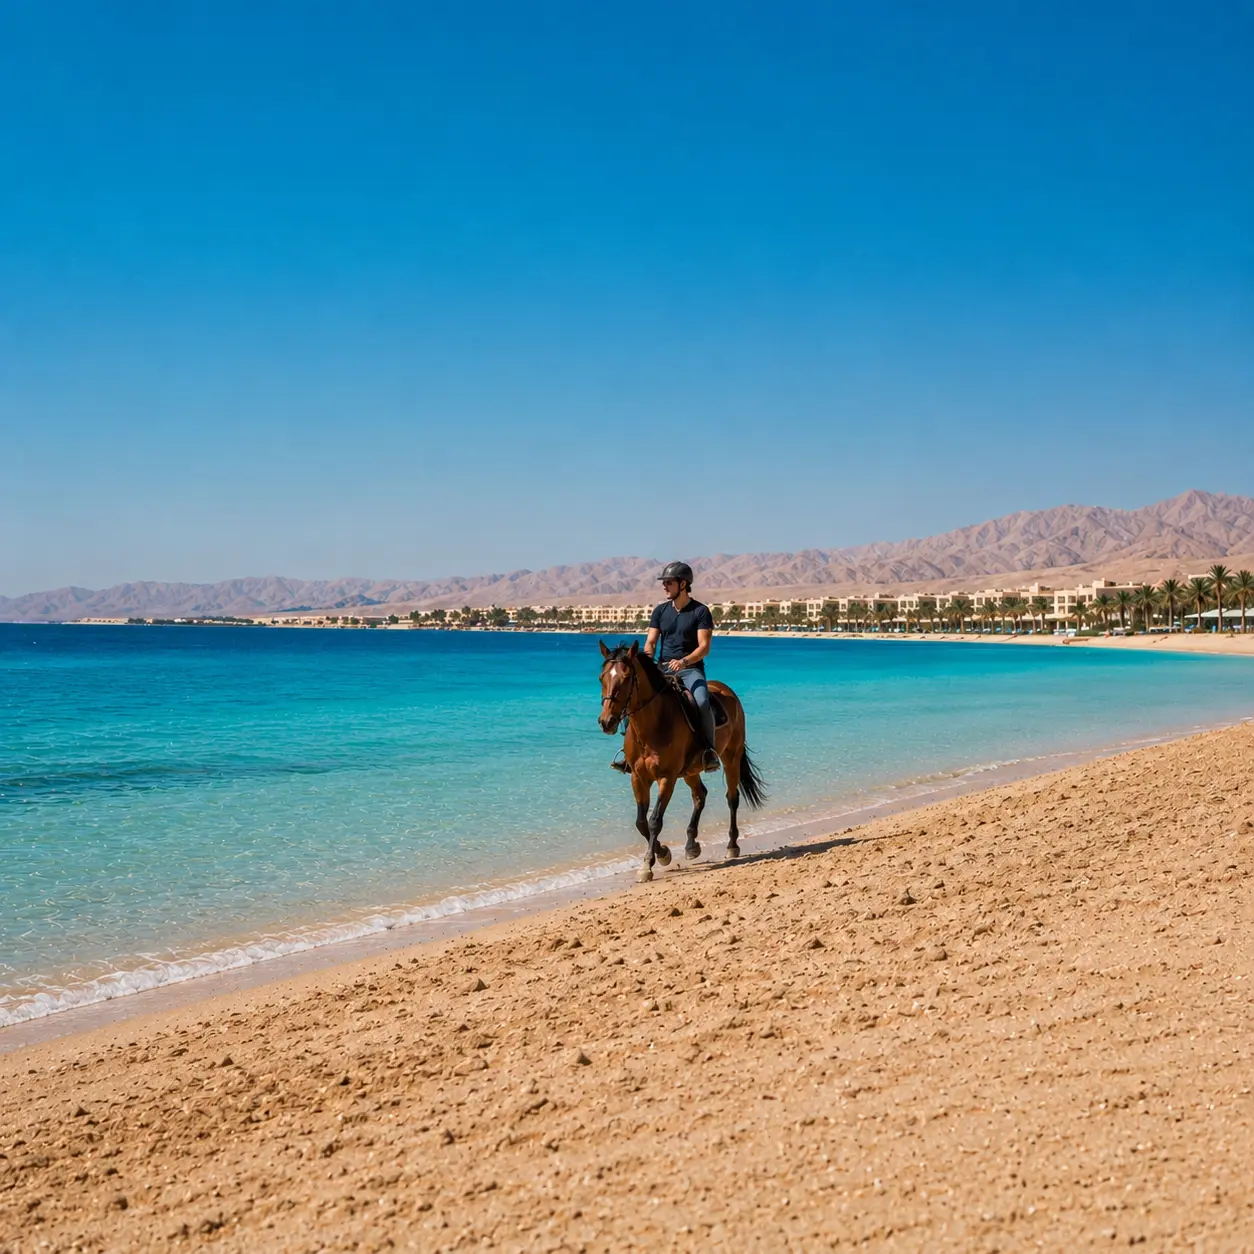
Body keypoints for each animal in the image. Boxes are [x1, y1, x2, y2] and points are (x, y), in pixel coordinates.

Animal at [598, 641, 766, 882]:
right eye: (601, 677)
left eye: (627, 677)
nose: (606, 721)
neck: (653, 725)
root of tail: (726, 690)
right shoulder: (638, 778)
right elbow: (641, 822)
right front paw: (663, 852)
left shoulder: (667, 778)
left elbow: (654, 820)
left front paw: (649, 864)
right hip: (690, 771)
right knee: (700, 796)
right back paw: (691, 845)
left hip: (731, 758)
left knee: (732, 799)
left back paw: (732, 845)